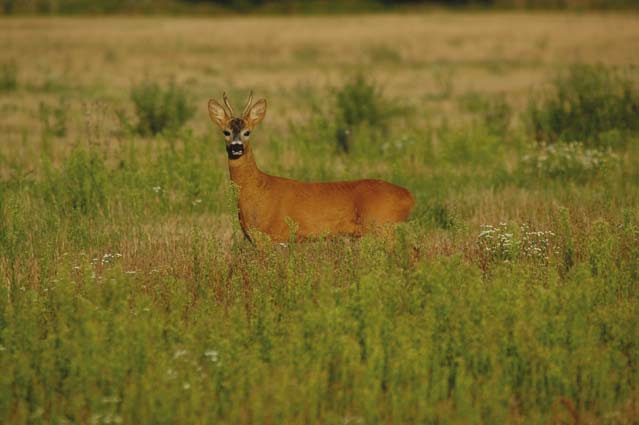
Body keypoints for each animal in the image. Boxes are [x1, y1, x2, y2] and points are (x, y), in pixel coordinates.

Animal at [208, 90, 412, 240]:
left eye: (247, 132)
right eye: (226, 132)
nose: (236, 147)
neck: (256, 188)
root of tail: (409, 197)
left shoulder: (268, 236)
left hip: (384, 227)